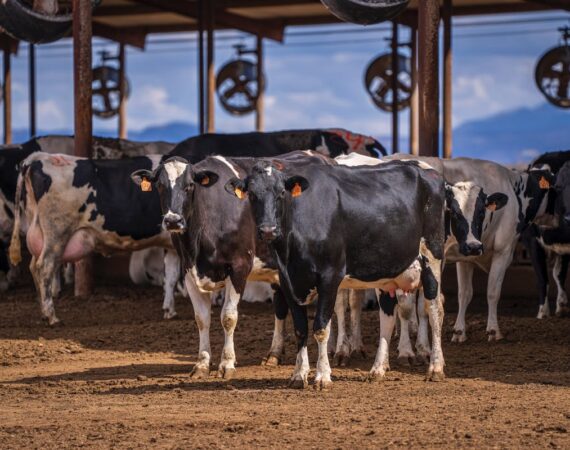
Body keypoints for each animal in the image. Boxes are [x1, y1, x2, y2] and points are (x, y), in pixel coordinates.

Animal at [8, 153, 178, 326]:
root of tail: (40, 157)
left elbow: (171, 276)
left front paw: (169, 311)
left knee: (33, 266)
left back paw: (43, 312)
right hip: (57, 233)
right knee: (44, 267)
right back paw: (51, 316)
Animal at [226, 158, 448, 386]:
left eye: (281, 193)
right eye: (252, 194)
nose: (268, 230)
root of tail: (426, 171)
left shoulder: (329, 277)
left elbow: (321, 328)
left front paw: (322, 376)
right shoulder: (288, 281)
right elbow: (300, 329)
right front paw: (298, 375)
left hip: (432, 256)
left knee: (434, 310)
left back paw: (435, 367)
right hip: (387, 271)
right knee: (387, 315)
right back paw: (377, 369)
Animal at [384, 155, 548, 342]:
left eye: (482, 213)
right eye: (454, 213)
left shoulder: (466, 256)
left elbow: (465, 293)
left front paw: (459, 331)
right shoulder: (503, 250)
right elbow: (493, 291)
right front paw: (493, 331)